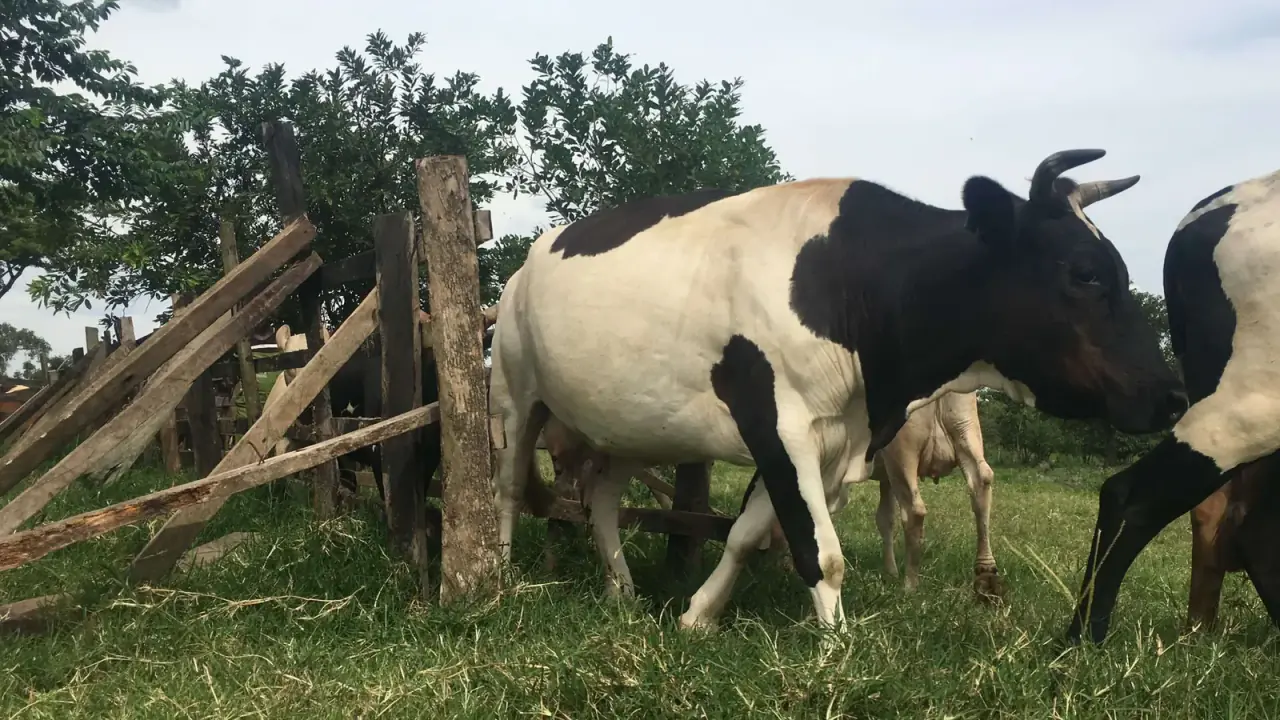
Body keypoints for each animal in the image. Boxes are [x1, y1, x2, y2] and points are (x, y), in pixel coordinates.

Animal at [490, 148, 1187, 633]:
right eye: (1085, 273)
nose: (1172, 395)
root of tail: (531, 257)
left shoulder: (830, 439)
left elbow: (750, 533)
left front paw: (698, 615)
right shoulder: (778, 423)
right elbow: (819, 553)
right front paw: (836, 648)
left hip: (628, 426)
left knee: (603, 499)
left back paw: (621, 590)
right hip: (517, 393)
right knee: (507, 487)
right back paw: (497, 579)